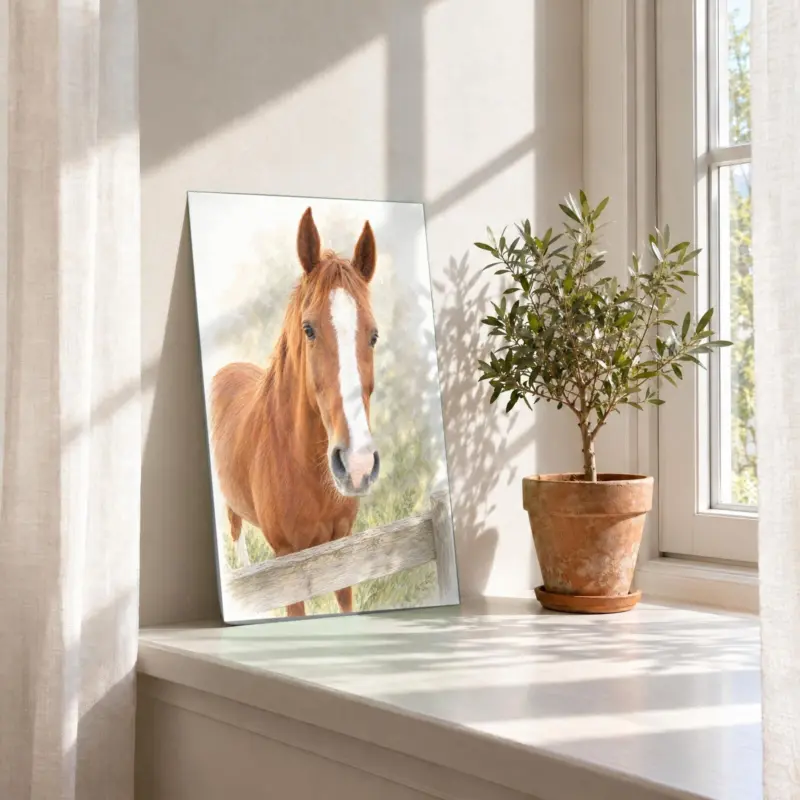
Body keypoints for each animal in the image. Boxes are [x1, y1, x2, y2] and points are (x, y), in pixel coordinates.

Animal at [209, 207, 381, 618]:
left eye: (374, 335)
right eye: (309, 329)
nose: (357, 465)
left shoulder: (344, 551)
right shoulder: (287, 565)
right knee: (236, 533)